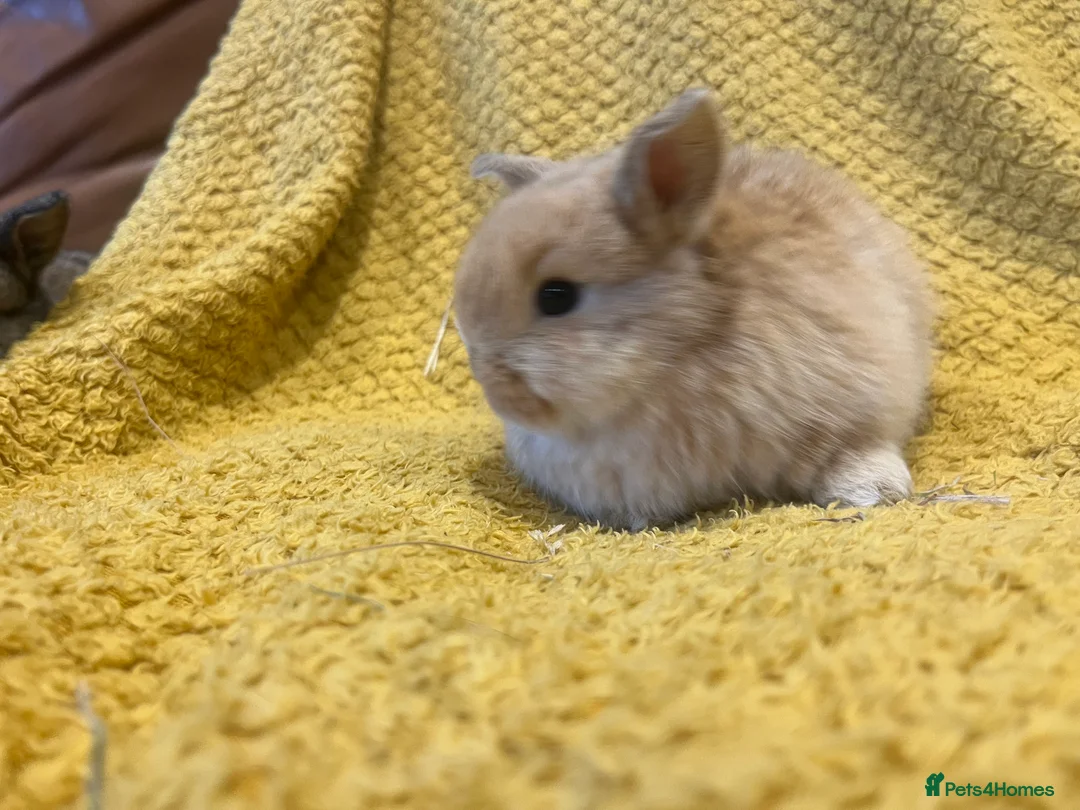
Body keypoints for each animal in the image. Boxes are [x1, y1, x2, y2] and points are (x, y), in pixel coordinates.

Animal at [453, 87, 934, 532]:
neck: (677, 356)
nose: (496, 392)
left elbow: (847, 452)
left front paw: (879, 491)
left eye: (556, 296)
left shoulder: (847, 408)